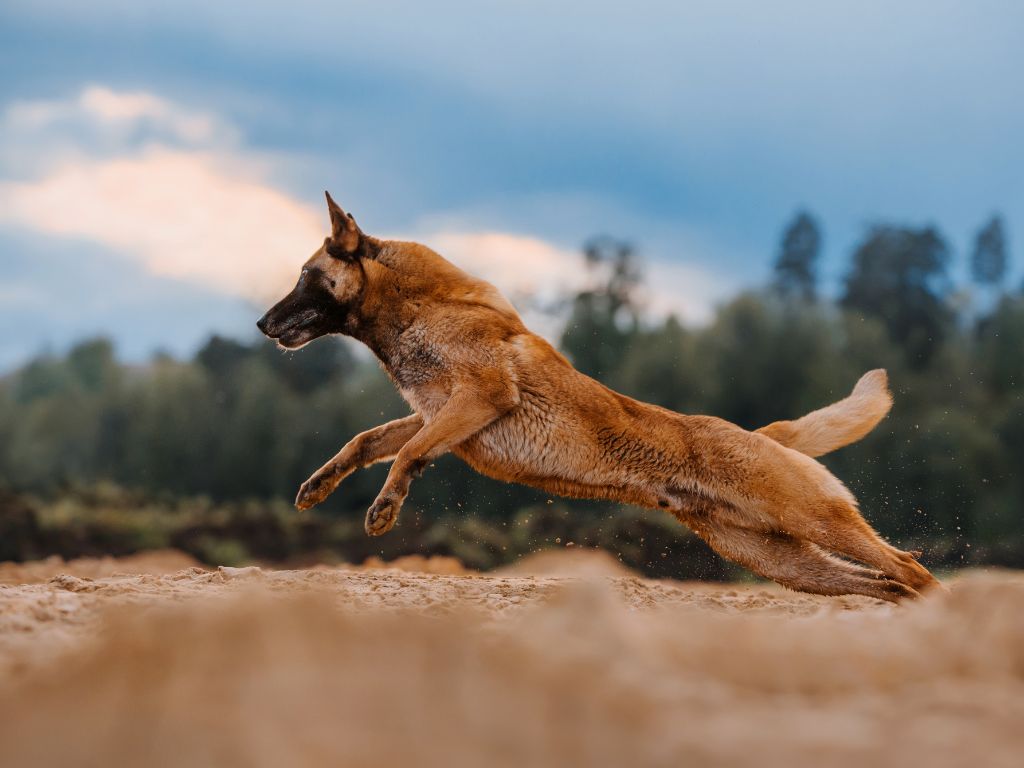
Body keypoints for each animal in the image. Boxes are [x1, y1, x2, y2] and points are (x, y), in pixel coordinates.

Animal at [260, 192, 937, 602]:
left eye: (305, 275)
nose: (263, 324)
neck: (418, 310)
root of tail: (760, 435)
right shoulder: (434, 411)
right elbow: (367, 441)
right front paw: (318, 485)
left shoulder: (478, 398)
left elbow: (405, 455)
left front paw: (385, 508)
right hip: (784, 562)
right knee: (888, 582)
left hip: (816, 522)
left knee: (909, 567)